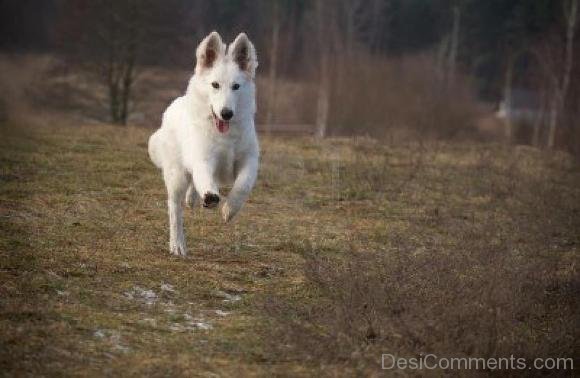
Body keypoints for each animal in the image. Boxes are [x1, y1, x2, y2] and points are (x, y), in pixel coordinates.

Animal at [148, 32, 260, 255]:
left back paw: (193, 199)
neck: (225, 134)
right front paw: (210, 197)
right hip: (176, 175)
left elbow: (243, 185)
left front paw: (230, 209)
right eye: (215, 85)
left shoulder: (249, 160)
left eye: (236, 86)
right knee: (174, 208)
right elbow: (205, 179)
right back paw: (177, 244)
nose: (226, 113)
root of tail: (174, 104)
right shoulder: (203, 159)